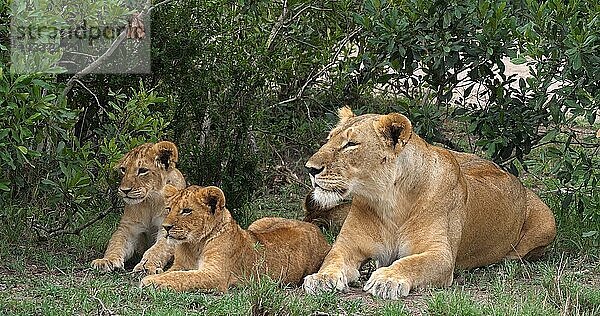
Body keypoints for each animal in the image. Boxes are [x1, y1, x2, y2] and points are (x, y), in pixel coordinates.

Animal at [90, 141, 185, 274]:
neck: (150, 202)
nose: (124, 190)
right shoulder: (128, 228)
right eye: (123, 169)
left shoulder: (169, 229)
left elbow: (157, 250)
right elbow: (115, 244)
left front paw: (146, 266)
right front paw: (106, 261)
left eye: (142, 170)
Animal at [139, 185, 330, 292]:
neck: (193, 245)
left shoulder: (215, 275)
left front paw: (150, 281)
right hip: (257, 223)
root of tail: (316, 229)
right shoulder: (180, 266)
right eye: (168, 209)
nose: (165, 227)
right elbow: (173, 273)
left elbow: (182, 278)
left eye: (186, 211)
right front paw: (153, 274)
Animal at [302, 108, 556, 298]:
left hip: (547, 222)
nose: (310, 169)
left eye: (351, 144)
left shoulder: (441, 255)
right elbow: (331, 259)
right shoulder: (347, 246)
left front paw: (387, 279)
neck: (390, 202)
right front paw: (321, 278)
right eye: (329, 139)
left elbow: (411, 263)